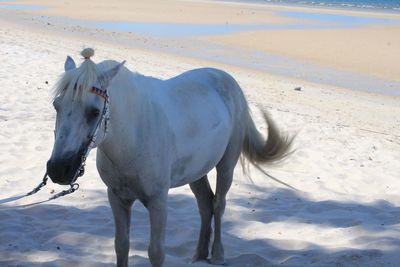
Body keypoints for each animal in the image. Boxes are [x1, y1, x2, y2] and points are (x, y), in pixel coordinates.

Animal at [47, 48, 294, 267]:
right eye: (56, 106)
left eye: (94, 112)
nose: (58, 169)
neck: (134, 134)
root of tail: (228, 80)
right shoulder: (117, 198)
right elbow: (121, 246)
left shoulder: (158, 201)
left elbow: (156, 253)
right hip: (197, 172)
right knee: (205, 204)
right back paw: (199, 255)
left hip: (226, 166)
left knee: (218, 203)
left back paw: (217, 255)